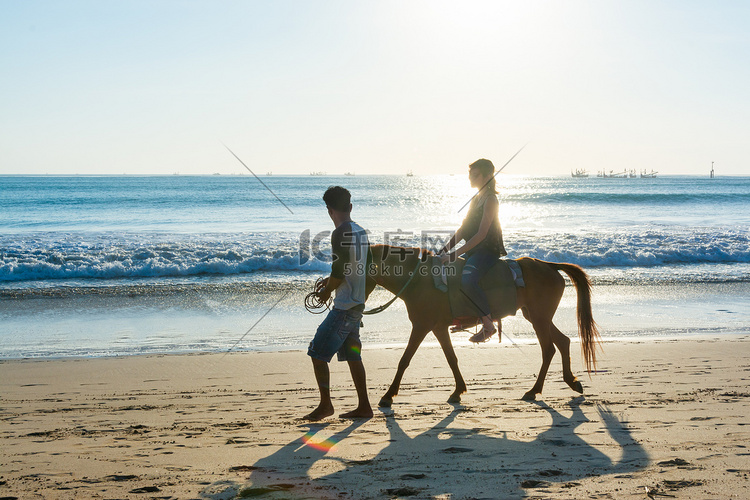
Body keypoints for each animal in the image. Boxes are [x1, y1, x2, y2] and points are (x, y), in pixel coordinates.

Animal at [368, 245, 604, 406]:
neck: (418, 279)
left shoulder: (422, 325)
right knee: (563, 342)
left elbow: (404, 360)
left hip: (539, 319)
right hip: (537, 317)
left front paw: (388, 395)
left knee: (548, 349)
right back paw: (571, 381)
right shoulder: (438, 327)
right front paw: (458, 390)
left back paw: (534, 390)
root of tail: (548, 265)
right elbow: (451, 358)